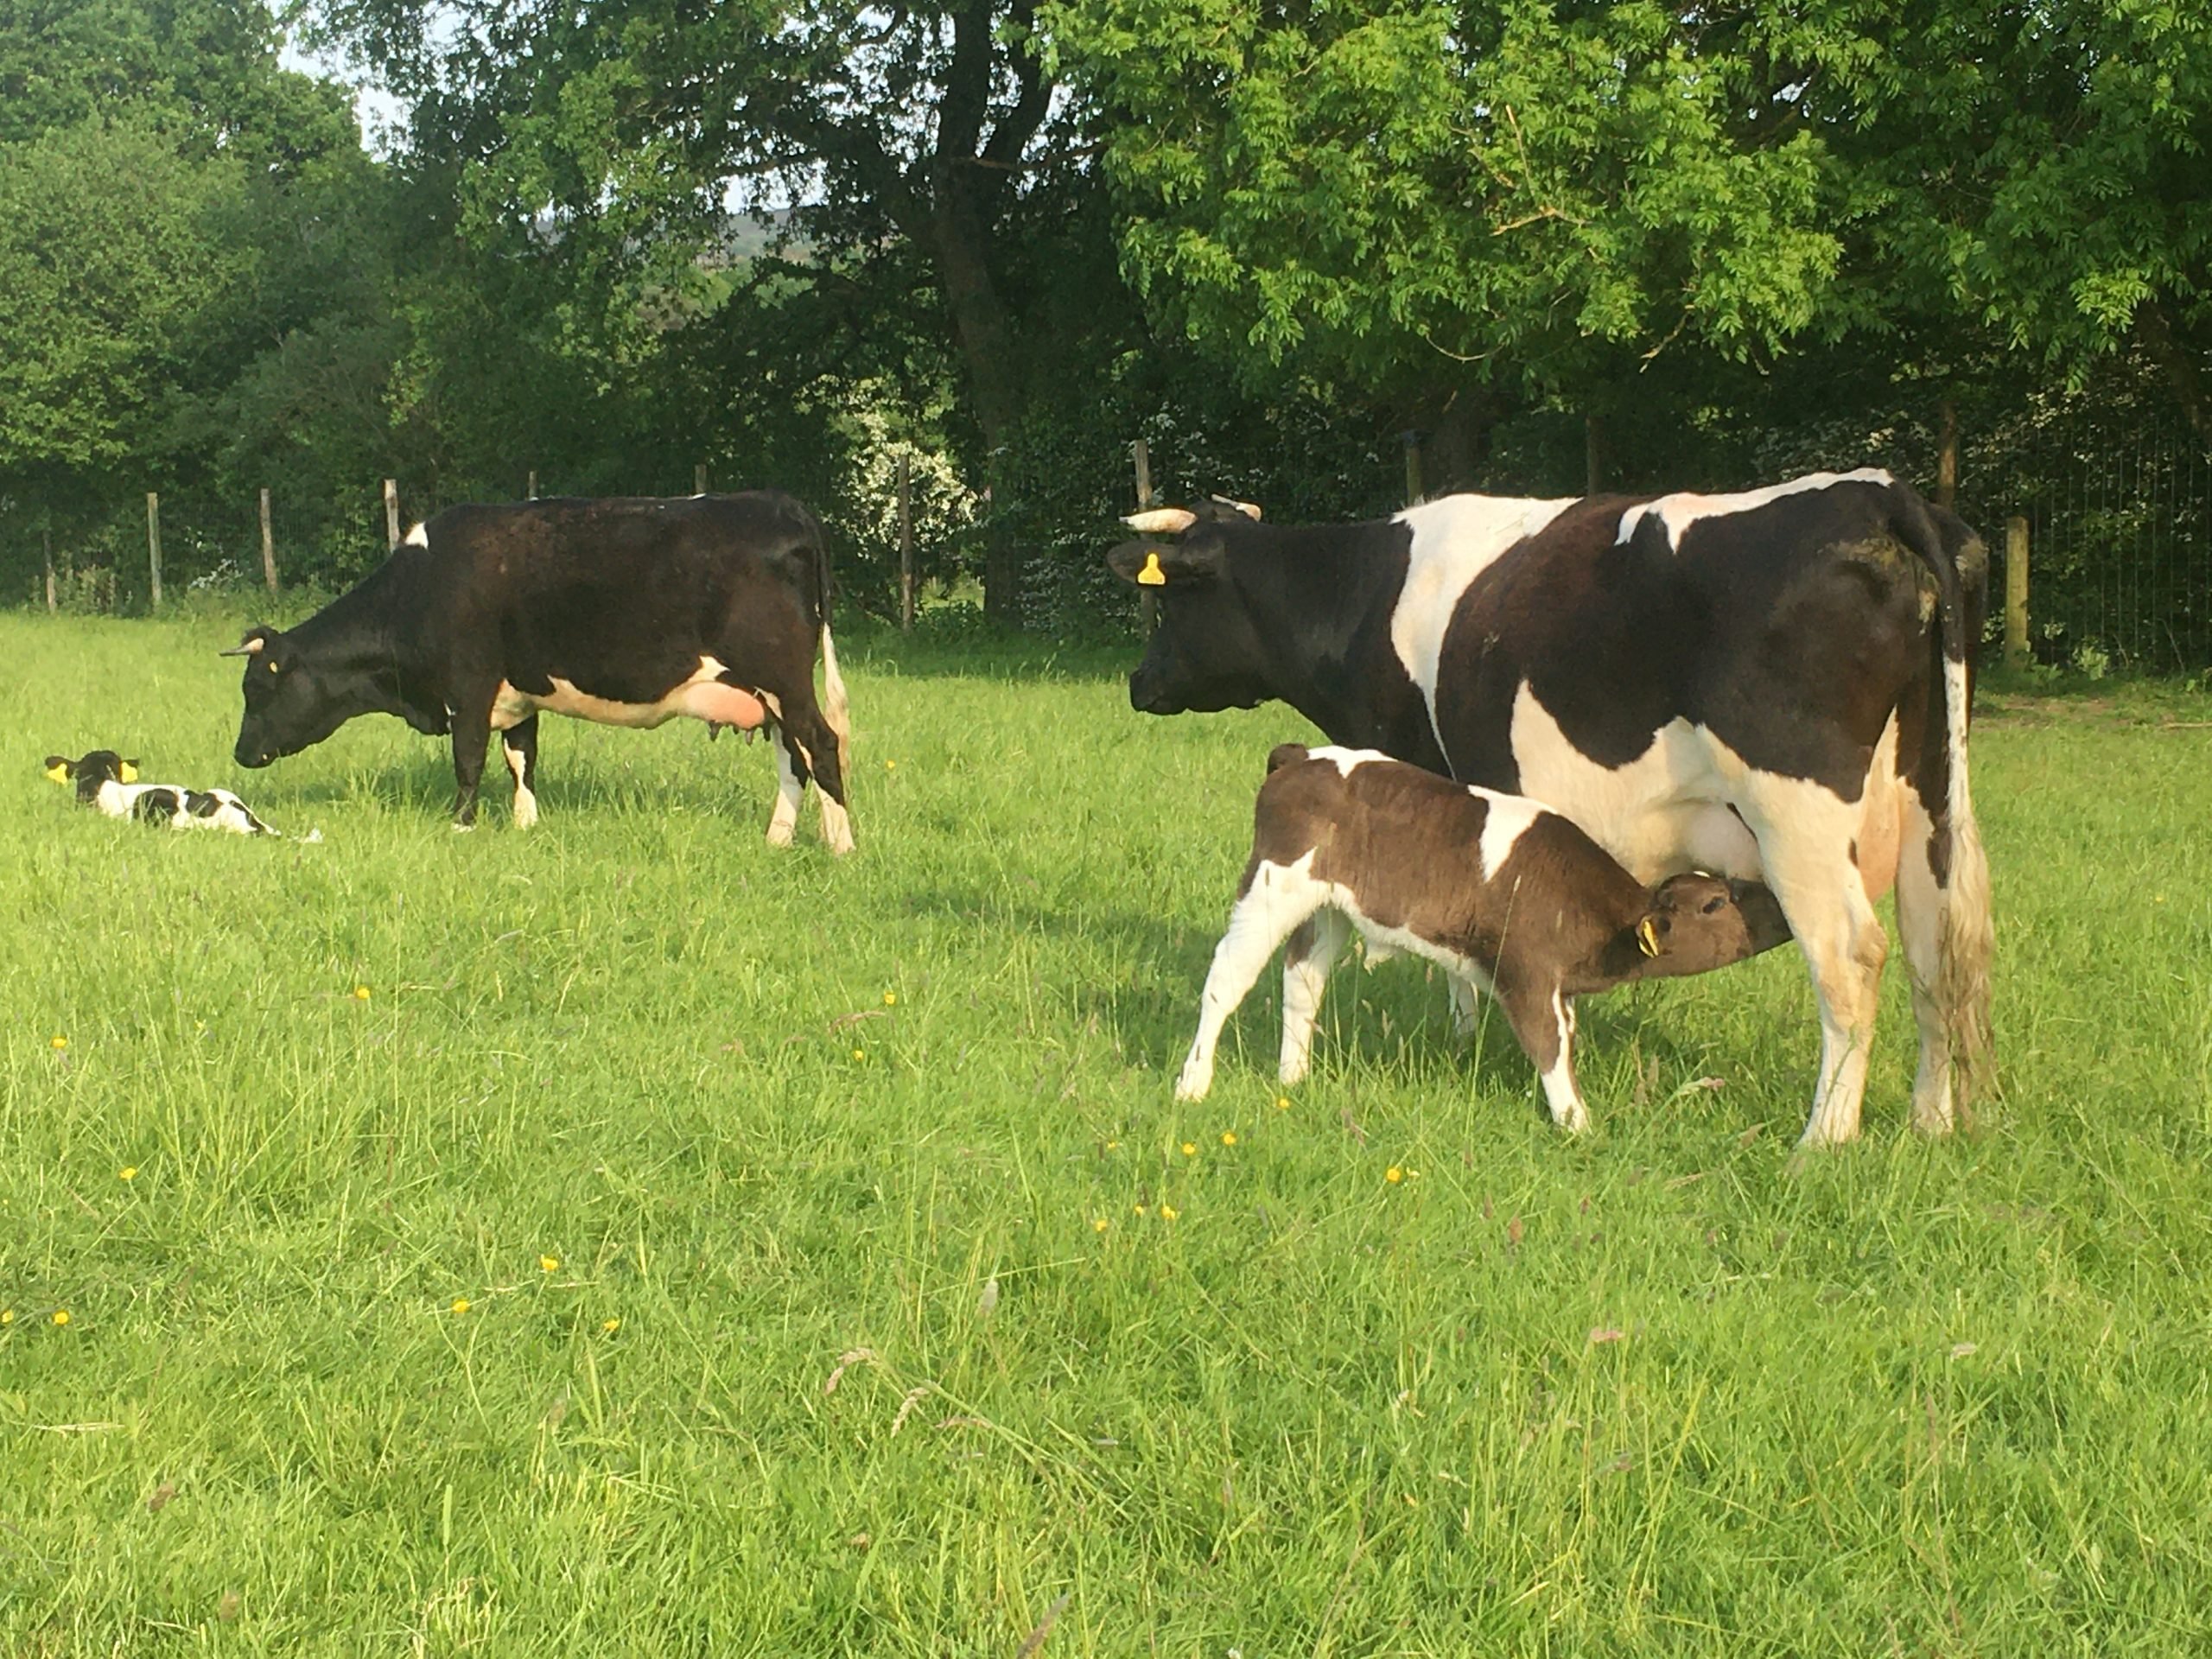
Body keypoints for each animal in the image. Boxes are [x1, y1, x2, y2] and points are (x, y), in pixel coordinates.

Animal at [226, 492, 853, 852]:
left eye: (257, 688)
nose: (239, 754)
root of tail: (783, 504)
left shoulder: (469, 687)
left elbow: (469, 761)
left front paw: (462, 826)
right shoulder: (518, 695)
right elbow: (521, 759)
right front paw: (525, 825)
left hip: (784, 680)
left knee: (823, 745)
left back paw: (841, 846)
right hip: (768, 695)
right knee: (795, 760)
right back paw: (778, 840)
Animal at [1175, 743, 1795, 1132]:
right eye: (1715, 903)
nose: (1780, 906)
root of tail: (1302, 757)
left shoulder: (1557, 985)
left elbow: (1564, 1036)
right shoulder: (1527, 971)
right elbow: (1549, 1043)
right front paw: (1577, 1124)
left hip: (1325, 906)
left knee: (1302, 981)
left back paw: (1294, 1077)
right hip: (1271, 882)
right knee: (1227, 977)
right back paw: (1193, 1083)